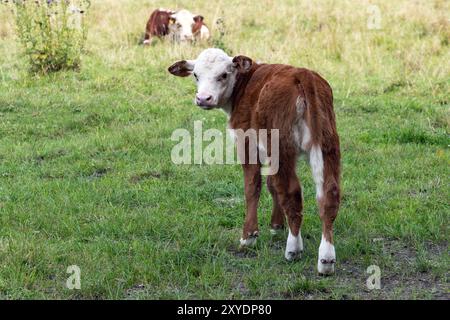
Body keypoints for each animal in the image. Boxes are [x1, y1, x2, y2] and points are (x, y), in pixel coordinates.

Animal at [168, 48, 342, 276]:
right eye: (196, 75)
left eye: (223, 75)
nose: (203, 98)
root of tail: (302, 74)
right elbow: (272, 185)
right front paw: (276, 225)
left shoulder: (247, 142)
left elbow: (253, 187)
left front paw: (249, 236)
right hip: (326, 144)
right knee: (328, 195)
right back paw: (326, 259)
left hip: (280, 145)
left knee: (292, 193)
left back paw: (294, 248)